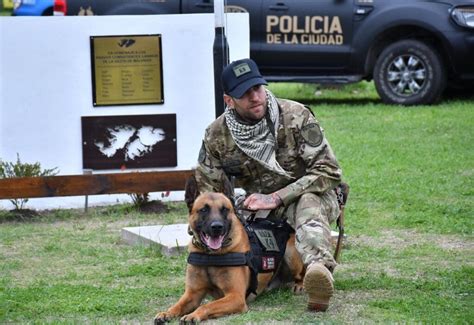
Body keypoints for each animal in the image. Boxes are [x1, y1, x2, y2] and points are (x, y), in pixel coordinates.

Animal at [154, 176, 306, 322]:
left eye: (224, 209)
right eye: (203, 209)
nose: (217, 227)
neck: (210, 255)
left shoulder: (236, 297)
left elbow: (207, 305)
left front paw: (193, 315)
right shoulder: (192, 293)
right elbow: (177, 305)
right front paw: (166, 313)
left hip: (291, 254)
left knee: (301, 274)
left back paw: (300, 285)